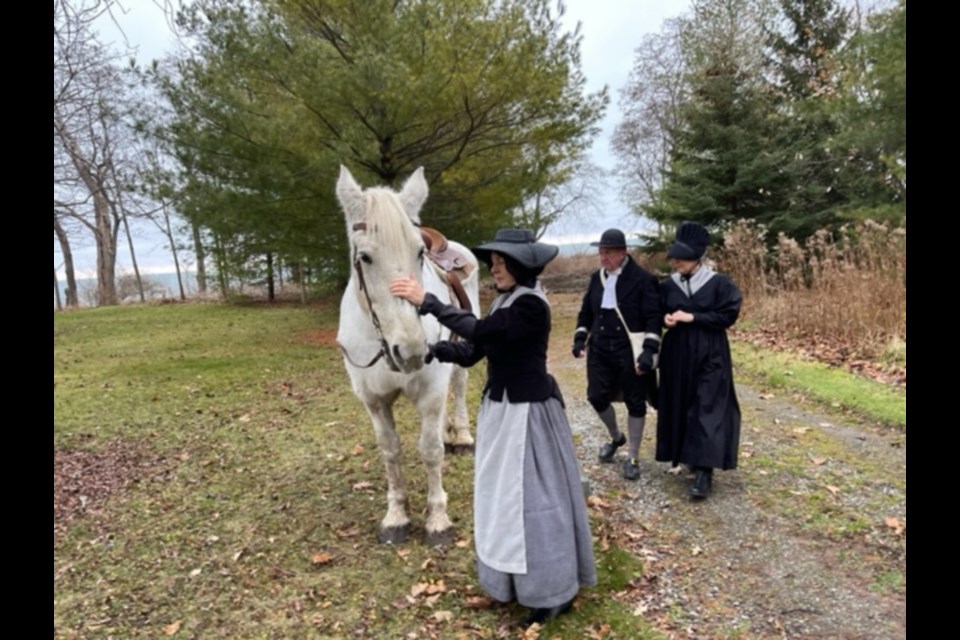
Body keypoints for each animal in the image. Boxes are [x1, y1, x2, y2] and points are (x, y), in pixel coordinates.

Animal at [336, 165, 478, 544]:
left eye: (419, 253)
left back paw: (462, 435)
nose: (413, 350)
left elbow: (430, 451)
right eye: (364, 257)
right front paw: (396, 516)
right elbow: (391, 451)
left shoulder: (430, 391)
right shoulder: (374, 401)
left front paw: (438, 520)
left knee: (459, 386)